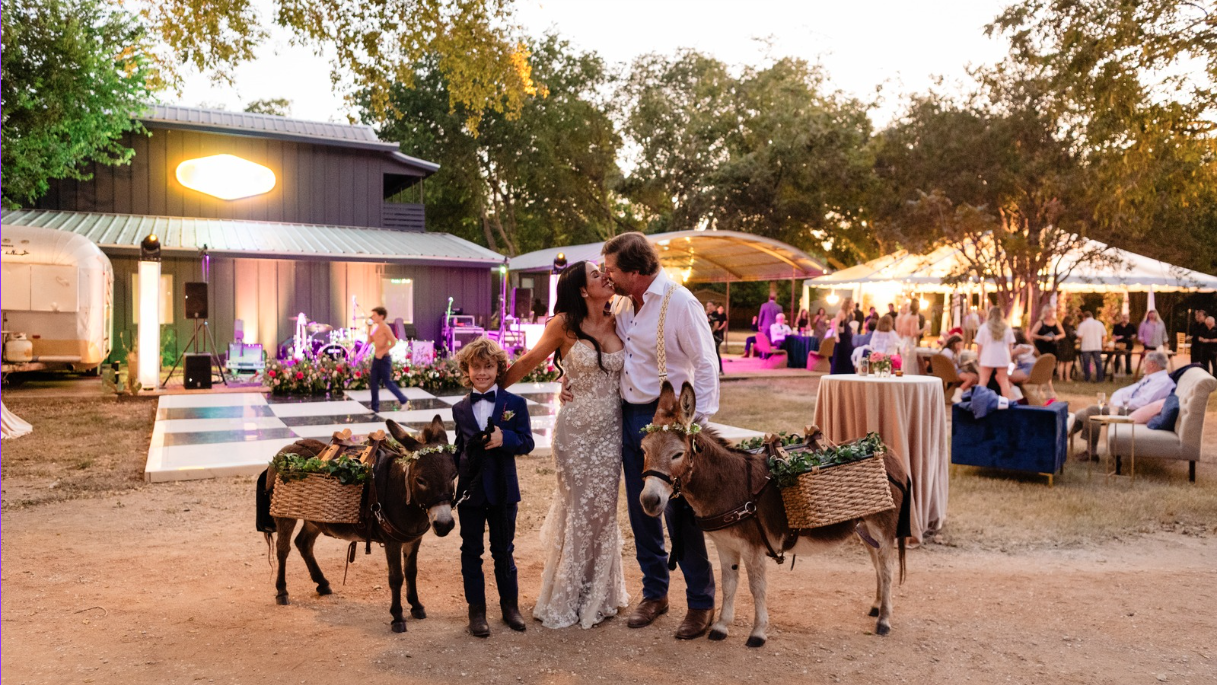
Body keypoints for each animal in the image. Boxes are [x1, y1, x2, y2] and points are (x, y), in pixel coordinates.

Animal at [259, 417, 457, 633]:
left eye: (453, 477)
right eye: (420, 480)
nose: (444, 525)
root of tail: (285, 449)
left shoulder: (413, 539)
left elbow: (411, 572)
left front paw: (416, 605)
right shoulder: (391, 542)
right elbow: (396, 577)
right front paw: (397, 617)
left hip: (315, 519)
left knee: (303, 543)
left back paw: (322, 584)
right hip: (285, 515)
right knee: (283, 549)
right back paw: (282, 591)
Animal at [639, 382, 910, 647]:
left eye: (677, 454)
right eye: (643, 450)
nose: (649, 501)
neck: (729, 485)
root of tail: (888, 450)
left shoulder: (753, 547)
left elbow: (756, 587)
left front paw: (758, 632)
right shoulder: (725, 545)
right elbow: (728, 584)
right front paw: (720, 626)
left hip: (883, 526)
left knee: (887, 569)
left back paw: (884, 621)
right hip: (865, 528)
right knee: (877, 564)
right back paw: (876, 607)